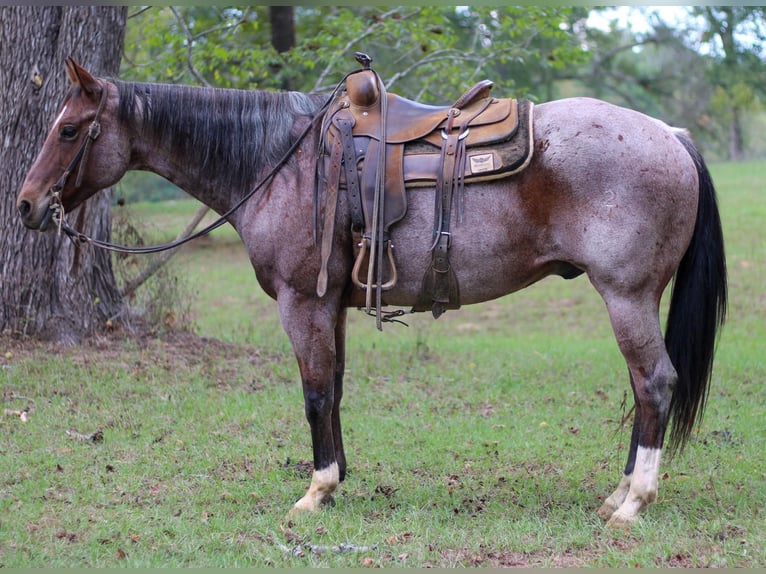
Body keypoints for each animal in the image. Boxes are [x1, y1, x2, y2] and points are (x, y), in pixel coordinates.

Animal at [15, 57, 728, 528]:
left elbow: (312, 394)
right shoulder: (330, 306)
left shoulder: (302, 303)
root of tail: (672, 135)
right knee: (642, 387)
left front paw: (315, 491)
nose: (26, 205)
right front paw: (336, 482)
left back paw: (633, 504)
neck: (281, 161)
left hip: (627, 295)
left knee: (654, 383)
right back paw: (618, 493)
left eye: (70, 130)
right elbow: (333, 390)